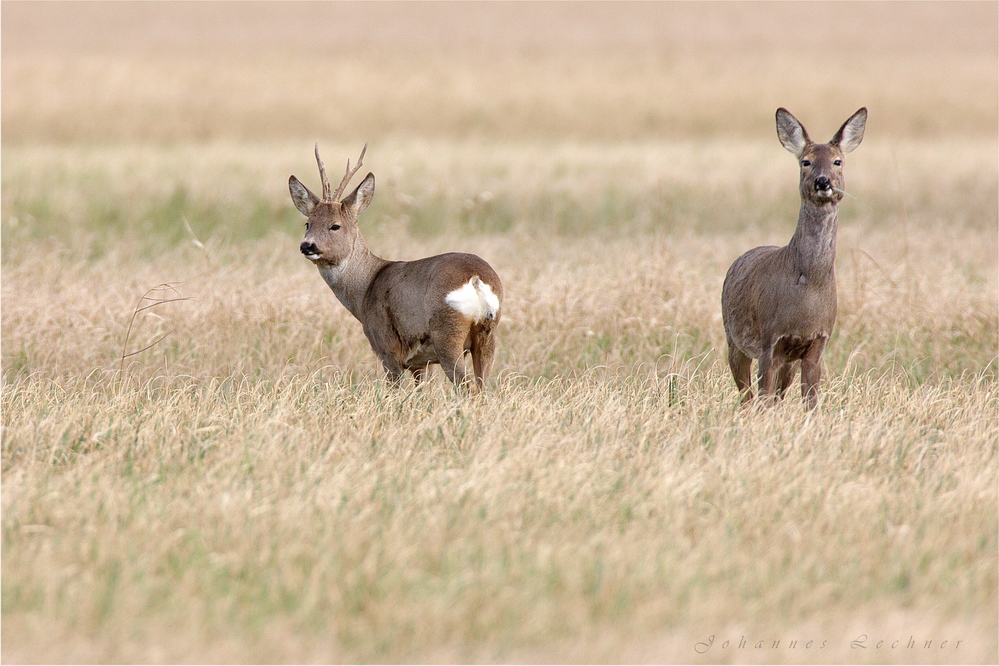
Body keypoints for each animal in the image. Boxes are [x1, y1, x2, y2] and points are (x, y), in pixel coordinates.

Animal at [292, 145, 504, 390]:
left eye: (335, 226)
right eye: (308, 223)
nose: (307, 245)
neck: (365, 289)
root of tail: (476, 279)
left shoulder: (386, 348)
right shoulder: (421, 362)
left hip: (447, 333)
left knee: (467, 386)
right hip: (487, 334)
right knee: (483, 386)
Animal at [720, 107, 868, 408]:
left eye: (837, 161)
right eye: (806, 162)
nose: (822, 181)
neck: (808, 291)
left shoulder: (817, 343)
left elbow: (810, 402)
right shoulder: (769, 341)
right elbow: (763, 399)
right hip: (733, 339)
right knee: (746, 396)